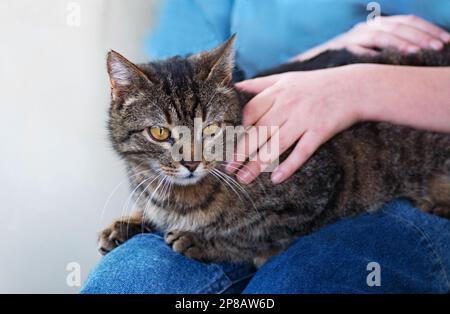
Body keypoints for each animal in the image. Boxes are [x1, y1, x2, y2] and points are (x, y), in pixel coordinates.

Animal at [97, 34, 450, 264]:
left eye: (210, 128)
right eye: (159, 132)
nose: (192, 163)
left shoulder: (321, 191)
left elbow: (257, 235)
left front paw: (203, 241)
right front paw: (127, 222)